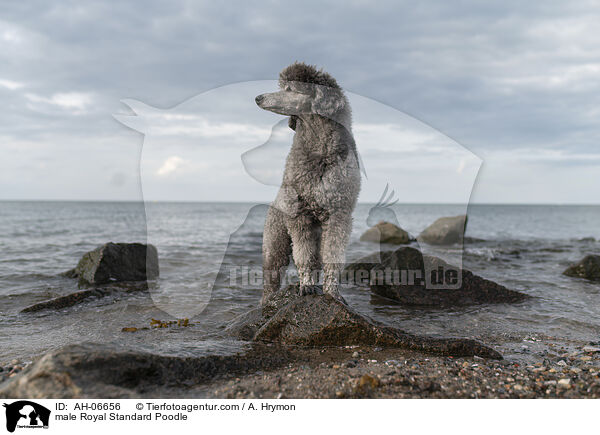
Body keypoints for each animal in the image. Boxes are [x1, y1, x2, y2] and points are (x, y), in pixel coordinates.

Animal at [254, 63, 358, 304]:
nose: (258, 98)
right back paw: (266, 301)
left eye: (290, 89)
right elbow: (304, 255)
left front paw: (332, 292)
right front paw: (306, 286)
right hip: (275, 242)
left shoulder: (339, 214)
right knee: (271, 278)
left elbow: (332, 257)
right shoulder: (299, 215)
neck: (320, 149)